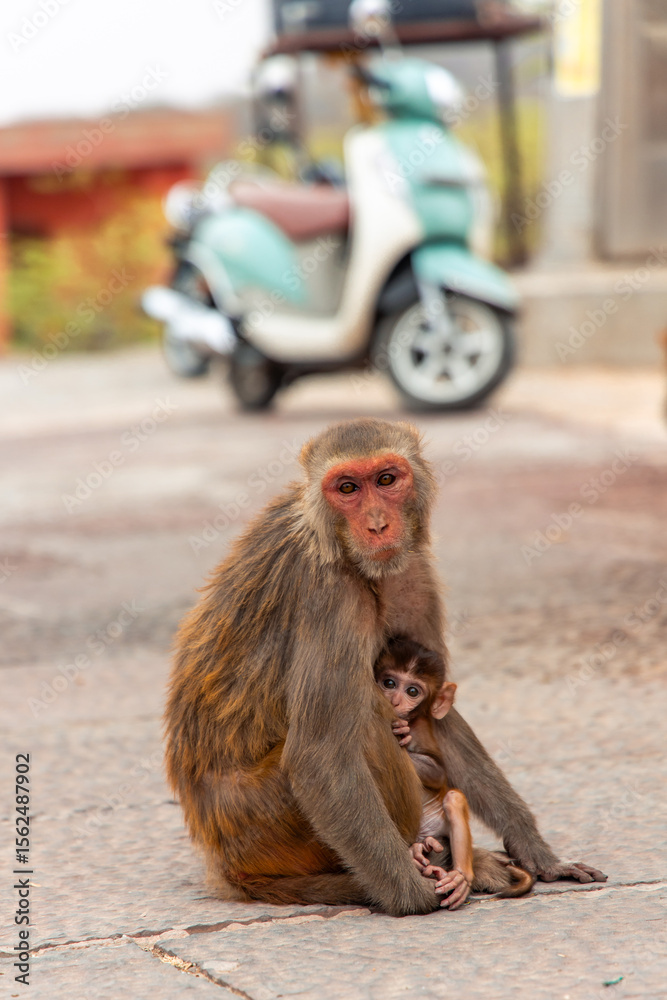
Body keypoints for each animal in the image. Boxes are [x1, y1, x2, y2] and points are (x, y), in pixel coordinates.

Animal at [374, 635, 534, 910]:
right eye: (389, 683)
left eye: (413, 692)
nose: (394, 702)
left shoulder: (421, 731)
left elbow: (439, 773)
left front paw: (403, 736)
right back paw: (418, 852)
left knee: (454, 798)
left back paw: (460, 876)